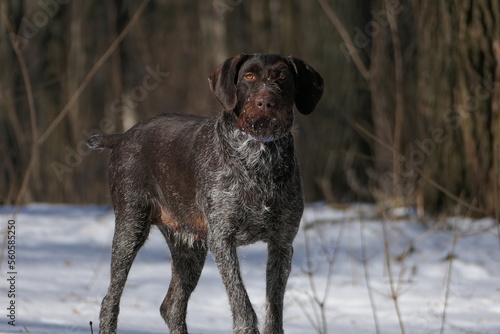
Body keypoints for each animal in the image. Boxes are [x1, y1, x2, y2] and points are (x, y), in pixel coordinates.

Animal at [87, 53, 324, 332]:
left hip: (189, 248)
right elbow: (243, 307)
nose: (266, 101)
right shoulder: (222, 239)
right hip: (130, 228)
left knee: (172, 307)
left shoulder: (282, 243)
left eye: (282, 77)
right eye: (249, 76)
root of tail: (123, 136)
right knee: (110, 301)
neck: (260, 156)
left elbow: (274, 311)